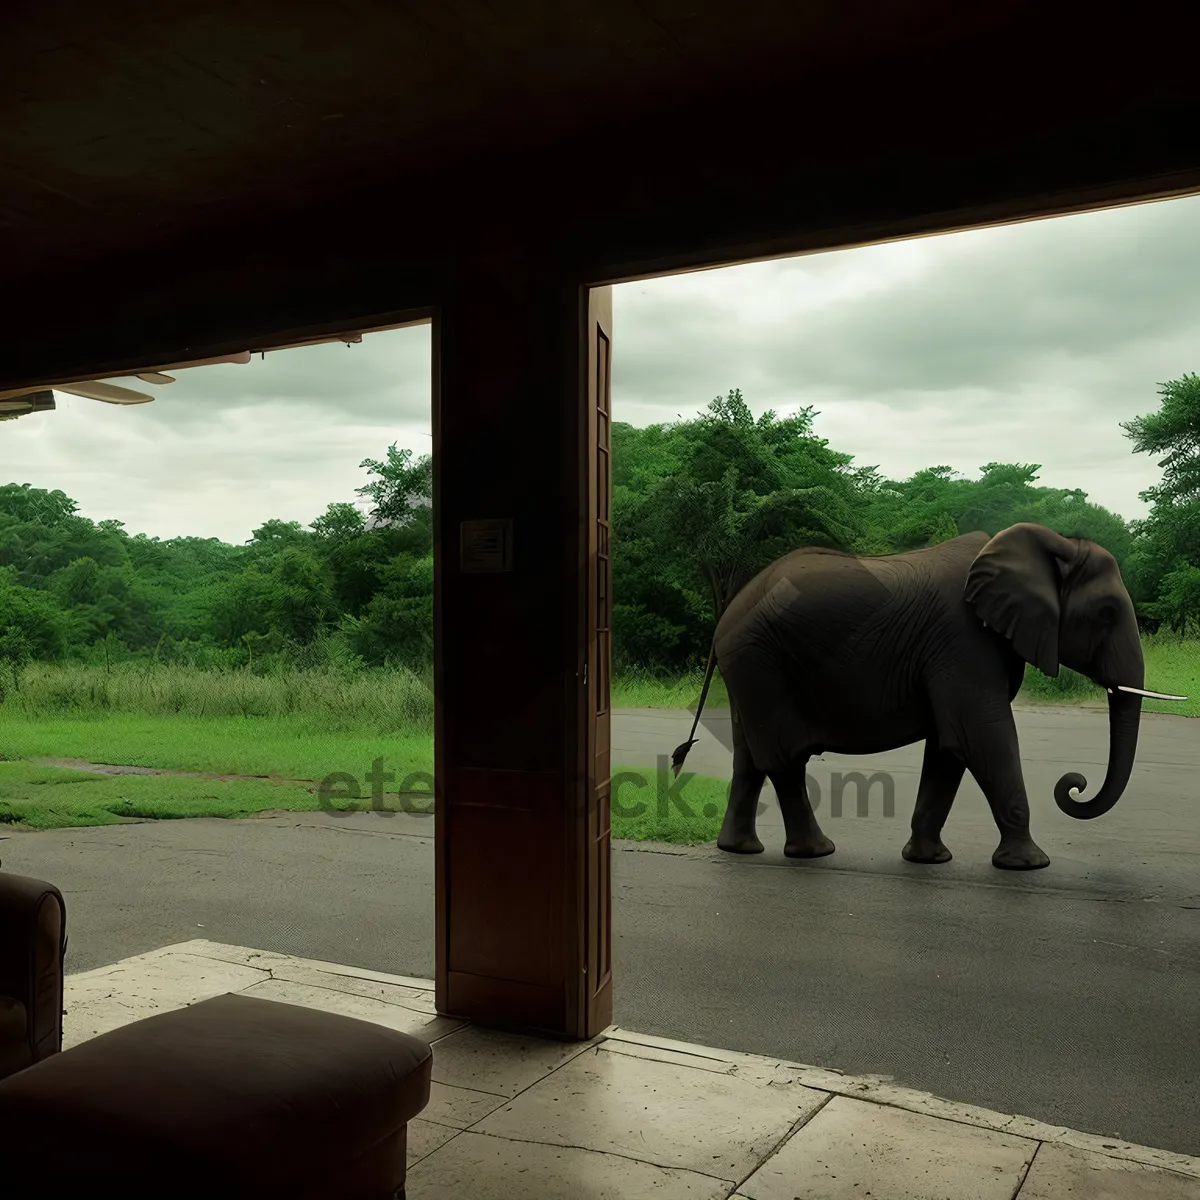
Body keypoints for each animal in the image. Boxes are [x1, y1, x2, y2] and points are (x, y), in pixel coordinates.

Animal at [672, 525, 1185, 873]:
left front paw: (929, 860)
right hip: (761, 661)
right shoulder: (964, 641)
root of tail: (725, 618)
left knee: (749, 758)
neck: (1050, 542)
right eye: (1106, 613)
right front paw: (1029, 866)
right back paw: (816, 853)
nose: (1073, 784)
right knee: (782, 758)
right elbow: (981, 737)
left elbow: (948, 750)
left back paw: (741, 850)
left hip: (750, 669)